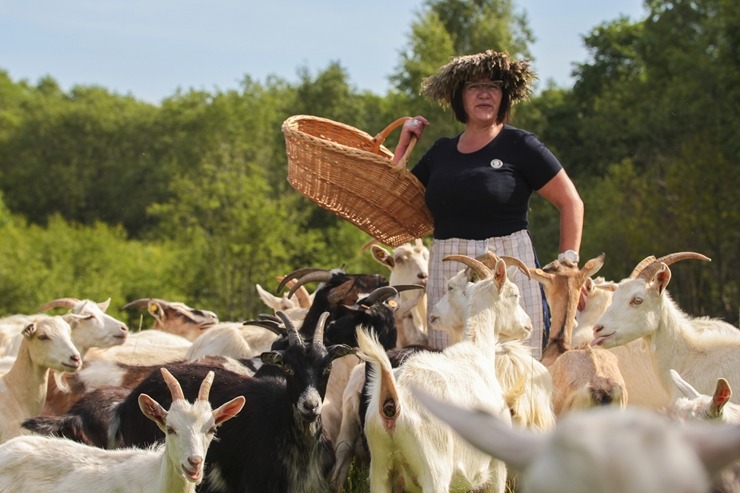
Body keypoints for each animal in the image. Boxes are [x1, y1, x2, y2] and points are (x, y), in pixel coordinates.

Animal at [356, 254, 528, 492]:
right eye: (515, 295)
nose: (527, 326)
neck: (477, 352)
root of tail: (392, 402)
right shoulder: (496, 464)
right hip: (434, 469)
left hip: (380, 467)